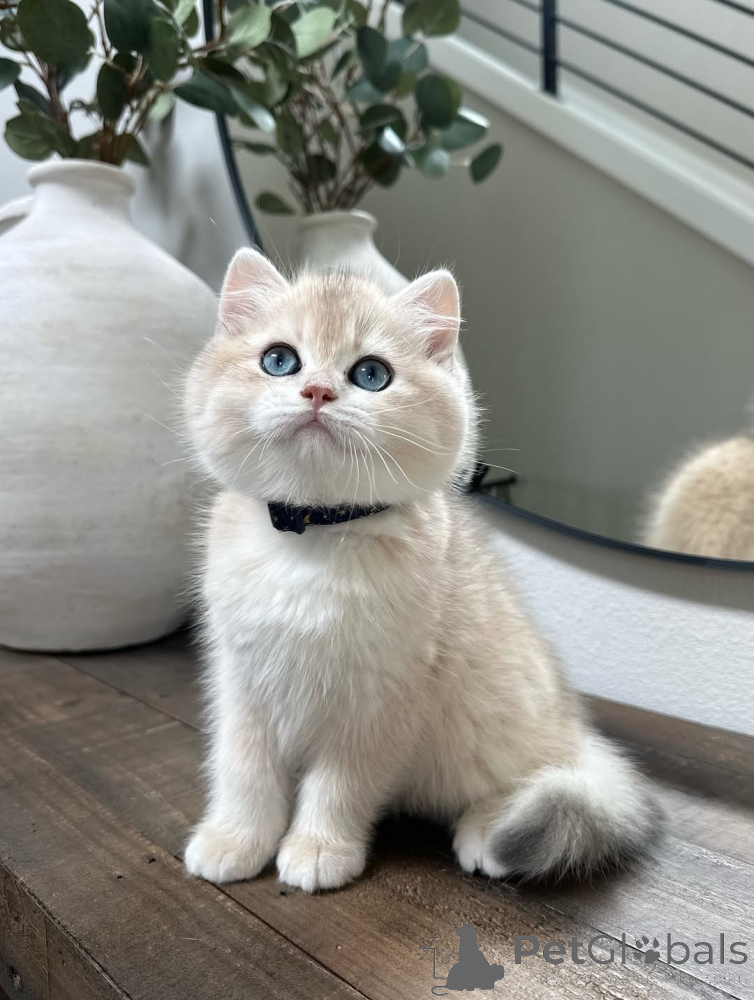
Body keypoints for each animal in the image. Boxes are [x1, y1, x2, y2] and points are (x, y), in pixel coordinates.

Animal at [183, 247, 659, 892]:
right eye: (279, 361)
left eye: (370, 375)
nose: (315, 392)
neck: (315, 534)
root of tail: (574, 731)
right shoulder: (242, 684)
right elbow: (244, 771)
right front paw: (236, 839)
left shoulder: (380, 702)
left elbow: (340, 785)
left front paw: (319, 848)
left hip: (503, 728)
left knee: (536, 783)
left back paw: (488, 831)